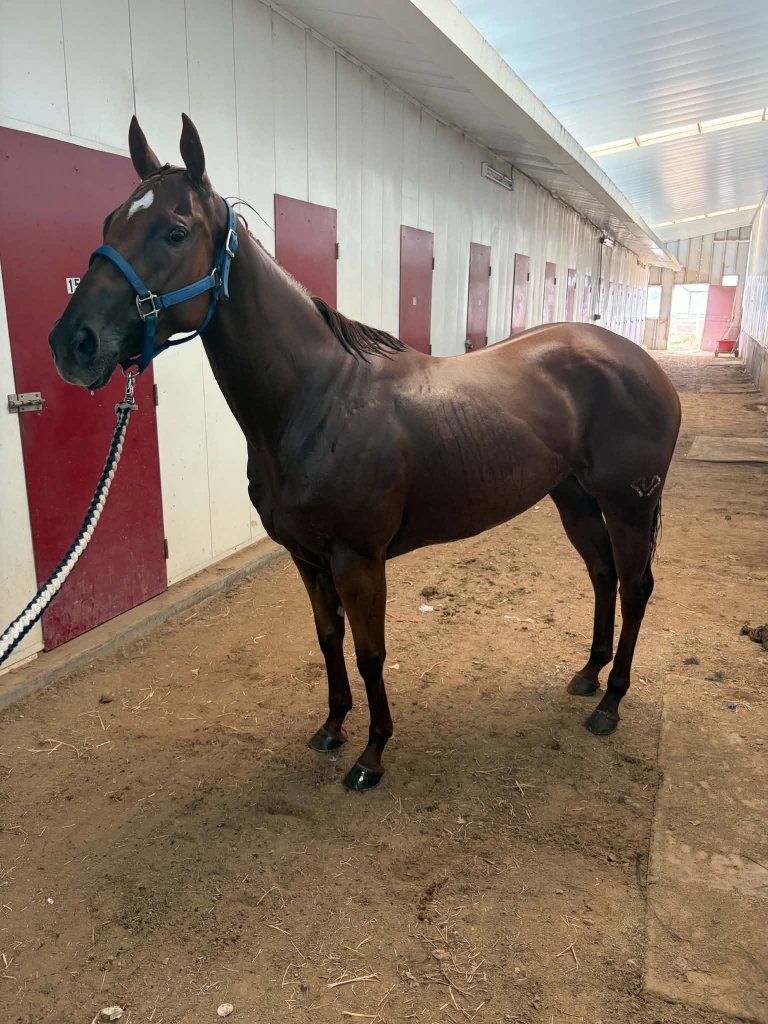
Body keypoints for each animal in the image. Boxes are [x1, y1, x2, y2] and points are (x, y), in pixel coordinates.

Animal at [48, 115, 681, 791]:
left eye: (175, 230)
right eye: (109, 222)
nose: (73, 343)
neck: (316, 400)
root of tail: (641, 364)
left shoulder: (358, 559)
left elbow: (370, 652)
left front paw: (373, 754)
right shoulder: (307, 559)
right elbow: (329, 641)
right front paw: (332, 727)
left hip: (629, 505)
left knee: (636, 585)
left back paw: (611, 702)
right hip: (575, 499)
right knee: (603, 575)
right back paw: (588, 676)